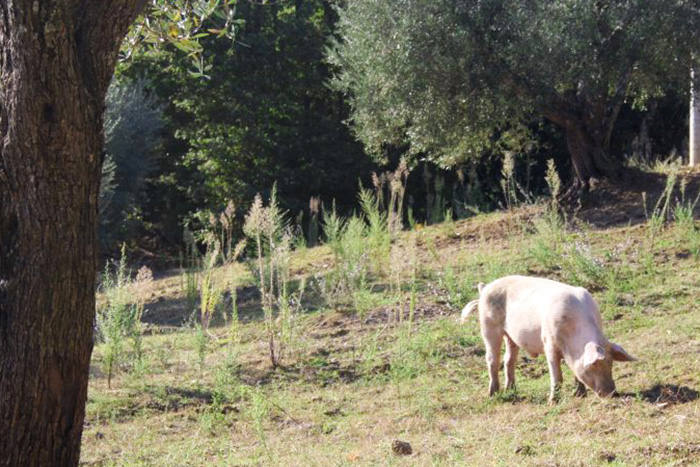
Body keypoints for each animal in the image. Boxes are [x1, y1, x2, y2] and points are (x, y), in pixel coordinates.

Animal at [462, 276, 636, 404]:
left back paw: (511, 390)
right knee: (492, 359)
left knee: (508, 360)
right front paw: (553, 402)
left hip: (511, 336)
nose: (613, 394)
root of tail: (485, 287)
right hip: (488, 327)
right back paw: (493, 394)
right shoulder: (549, 343)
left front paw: (580, 395)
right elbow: (556, 375)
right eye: (594, 364)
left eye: (611, 363)